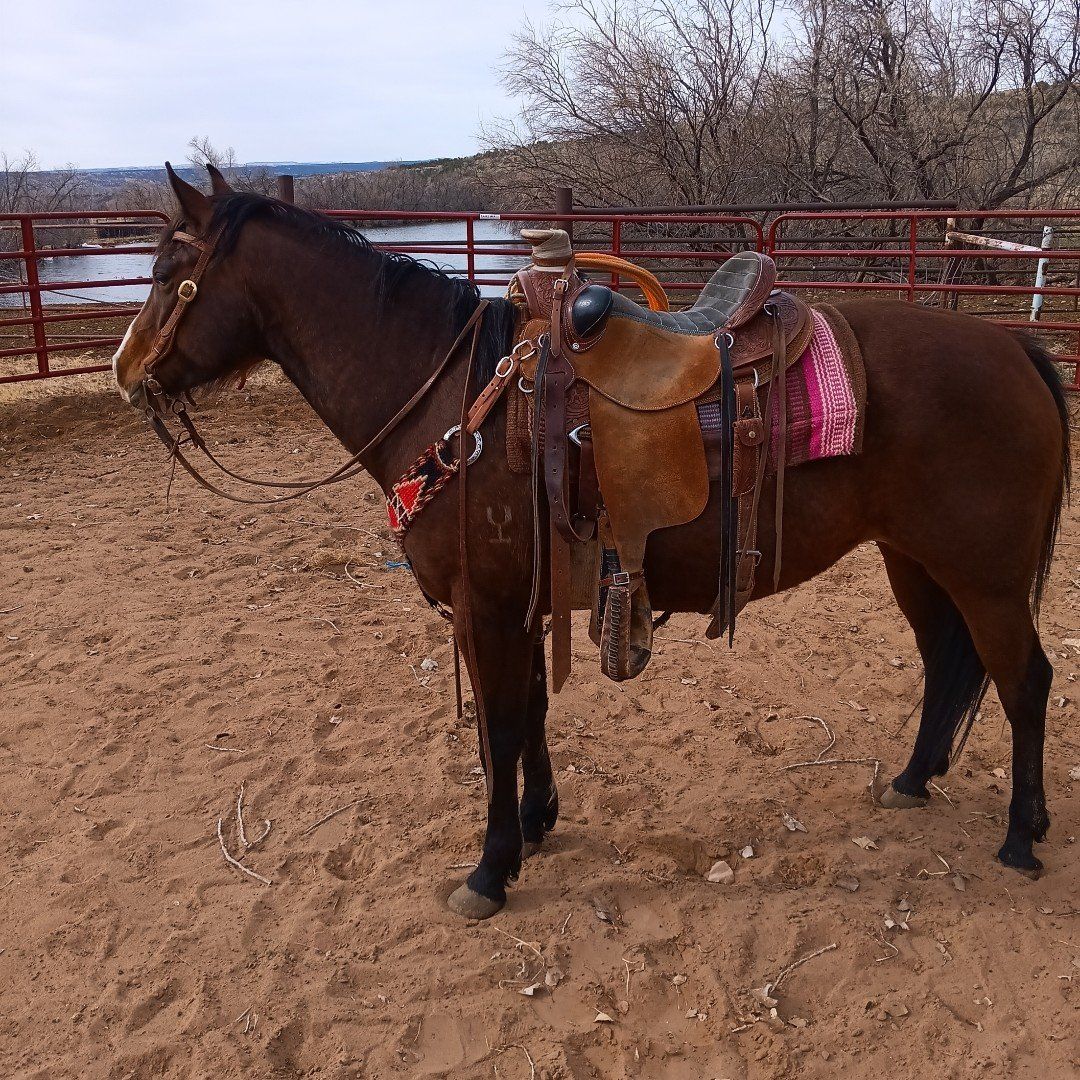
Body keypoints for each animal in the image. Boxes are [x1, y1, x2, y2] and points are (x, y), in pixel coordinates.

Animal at [113, 163, 1070, 920]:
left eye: (168, 271)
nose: (126, 372)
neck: (455, 402)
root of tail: (1018, 349)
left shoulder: (486, 608)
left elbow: (500, 728)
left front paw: (491, 869)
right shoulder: (521, 603)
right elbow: (531, 711)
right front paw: (539, 822)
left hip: (983, 575)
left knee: (1025, 681)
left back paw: (1023, 837)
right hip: (917, 563)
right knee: (949, 664)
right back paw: (914, 779)